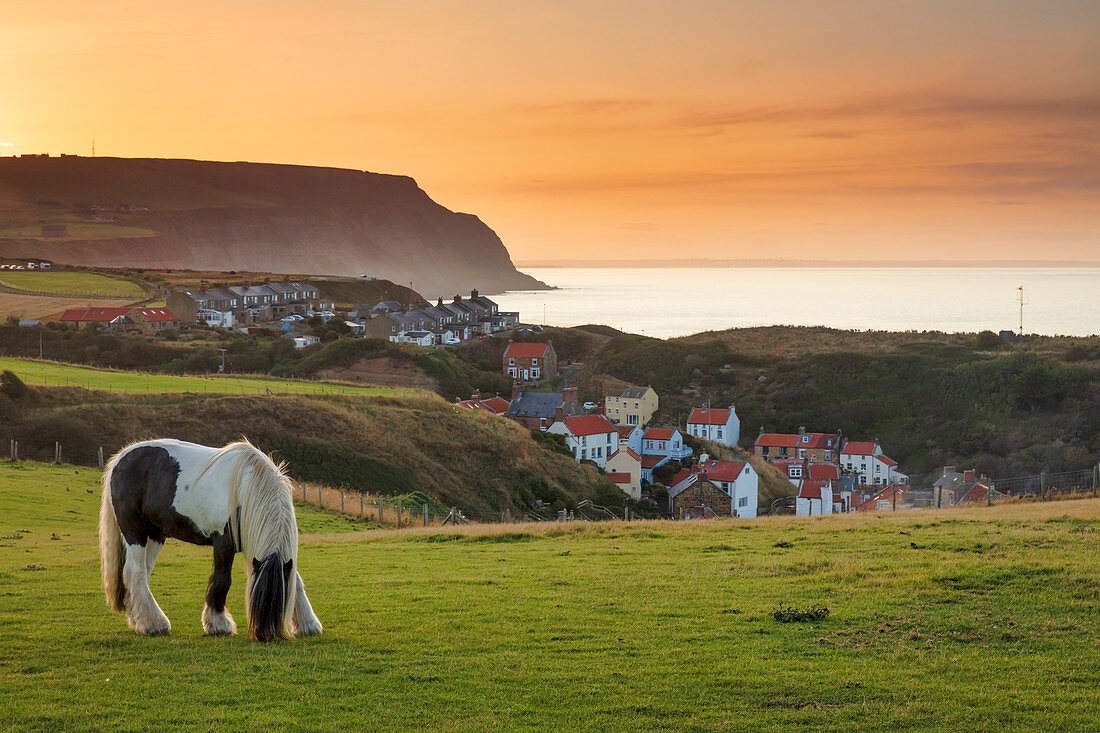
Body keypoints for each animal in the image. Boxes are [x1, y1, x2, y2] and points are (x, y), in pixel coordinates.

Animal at [97, 435, 321, 638]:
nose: (265, 635)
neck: (245, 487)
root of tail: (120, 458)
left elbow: (296, 580)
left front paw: (308, 624)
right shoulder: (224, 543)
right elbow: (222, 580)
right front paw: (218, 624)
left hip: (155, 534)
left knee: (140, 573)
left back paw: (139, 621)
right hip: (135, 532)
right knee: (135, 572)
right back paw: (154, 624)